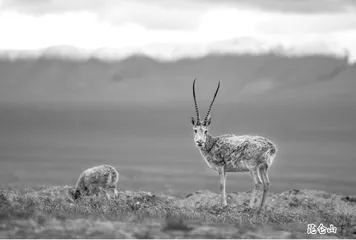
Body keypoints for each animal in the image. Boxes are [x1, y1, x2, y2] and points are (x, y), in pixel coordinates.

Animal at [191, 79, 276, 210]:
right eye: (195, 130)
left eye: (205, 130)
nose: (200, 142)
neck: (213, 144)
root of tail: (271, 146)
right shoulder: (225, 170)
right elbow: (225, 185)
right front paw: (225, 204)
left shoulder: (220, 166)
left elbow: (221, 185)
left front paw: (223, 205)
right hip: (264, 167)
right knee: (267, 183)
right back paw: (261, 208)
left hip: (253, 167)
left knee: (258, 183)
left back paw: (250, 207)